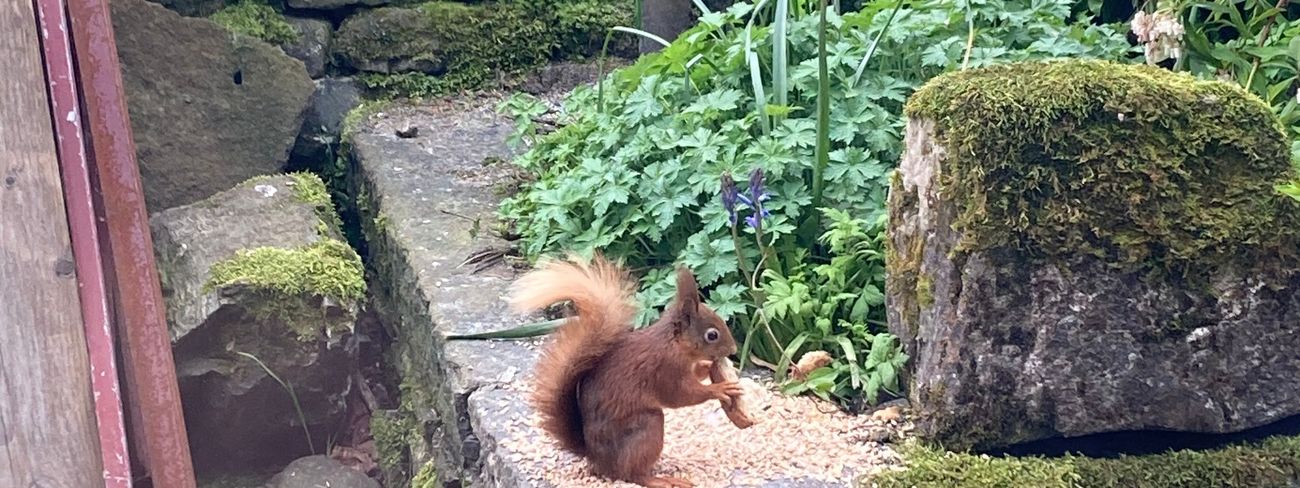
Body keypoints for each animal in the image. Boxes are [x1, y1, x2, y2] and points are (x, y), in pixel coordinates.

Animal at [508, 254, 742, 488]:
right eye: (712, 335)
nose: (734, 350)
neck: (673, 343)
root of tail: (595, 458)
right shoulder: (665, 369)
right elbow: (680, 396)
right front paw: (720, 388)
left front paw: (707, 367)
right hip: (647, 427)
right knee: (631, 474)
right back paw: (659, 479)